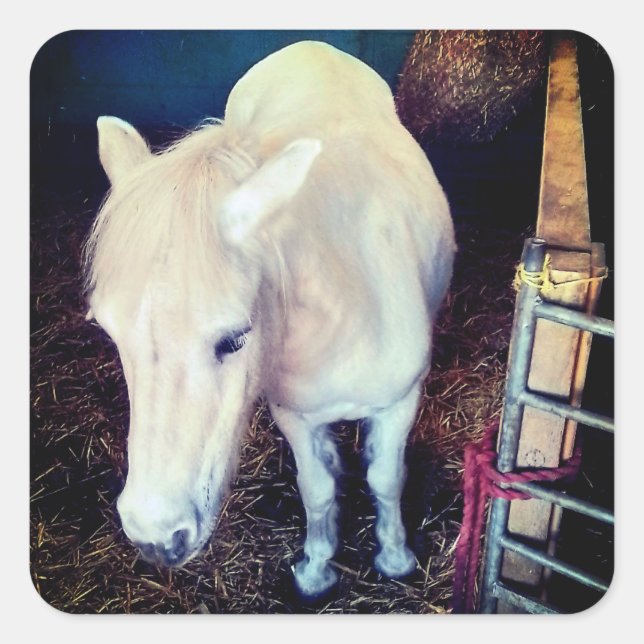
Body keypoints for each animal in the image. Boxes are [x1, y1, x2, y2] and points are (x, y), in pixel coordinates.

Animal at [83, 40, 456, 598]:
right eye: (111, 334)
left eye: (235, 338)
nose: (155, 538)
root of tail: (311, 46)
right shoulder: (294, 415)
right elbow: (317, 487)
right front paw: (316, 569)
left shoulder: (401, 402)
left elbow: (386, 479)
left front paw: (394, 557)